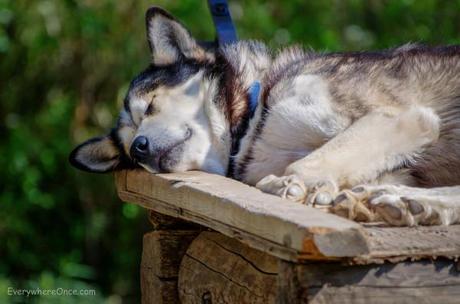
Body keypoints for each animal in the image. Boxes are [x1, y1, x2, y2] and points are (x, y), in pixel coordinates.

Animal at [68, 7, 460, 227]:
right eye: (129, 153)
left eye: (148, 106)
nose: (139, 147)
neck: (252, 120)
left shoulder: (401, 117)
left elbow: (299, 165)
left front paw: (292, 185)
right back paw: (410, 206)